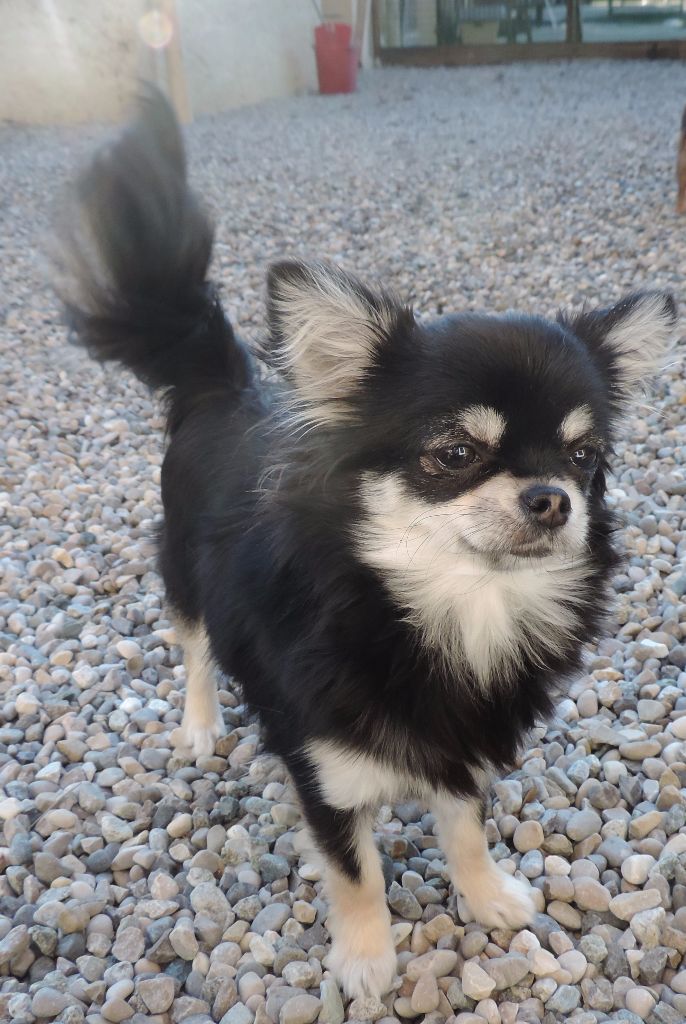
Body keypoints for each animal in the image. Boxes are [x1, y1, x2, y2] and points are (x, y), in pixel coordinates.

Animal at [58, 90, 676, 999]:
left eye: (583, 456)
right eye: (454, 454)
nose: (554, 499)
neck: (456, 609)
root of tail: (225, 385)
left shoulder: (463, 747)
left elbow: (464, 826)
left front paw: (487, 895)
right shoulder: (323, 769)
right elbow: (356, 871)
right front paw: (366, 959)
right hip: (183, 572)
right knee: (196, 646)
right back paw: (201, 726)